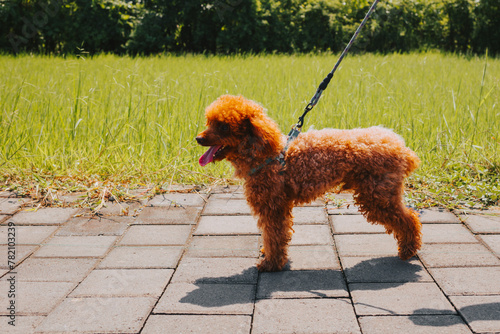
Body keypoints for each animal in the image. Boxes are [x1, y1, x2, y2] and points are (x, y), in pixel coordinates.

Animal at [196, 94, 422, 272]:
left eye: (224, 126)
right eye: (209, 122)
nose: (198, 138)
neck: (266, 155)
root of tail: (403, 149)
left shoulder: (273, 206)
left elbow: (274, 235)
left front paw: (271, 264)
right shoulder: (277, 206)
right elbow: (274, 235)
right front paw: (269, 255)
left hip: (378, 195)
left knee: (409, 218)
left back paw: (408, 249)